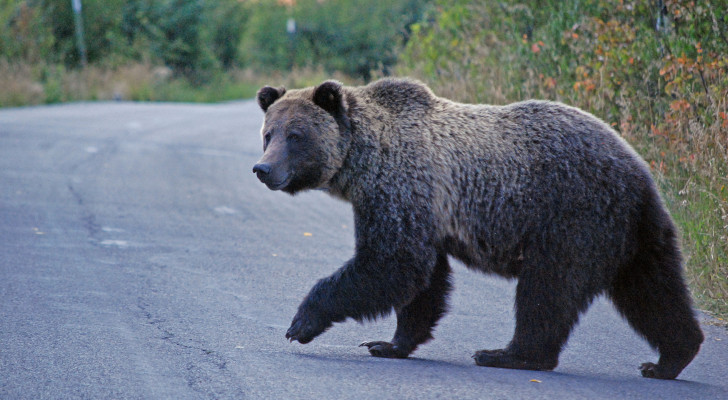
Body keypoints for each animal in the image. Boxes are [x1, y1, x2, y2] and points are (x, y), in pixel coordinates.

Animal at [253, 77, 704, 378]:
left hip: (572, 216)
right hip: (633, 231)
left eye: (296, 135)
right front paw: (390, 343)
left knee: (548, 289)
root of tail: (639, 169)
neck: (362, 160)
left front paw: (302, 323)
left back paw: (509, 354)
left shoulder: (401, 187)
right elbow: (423, 281)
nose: (263, 169)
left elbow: (390, 263)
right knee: (653, 290)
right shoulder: (425, 212)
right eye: (268, 133)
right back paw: (670, 357)